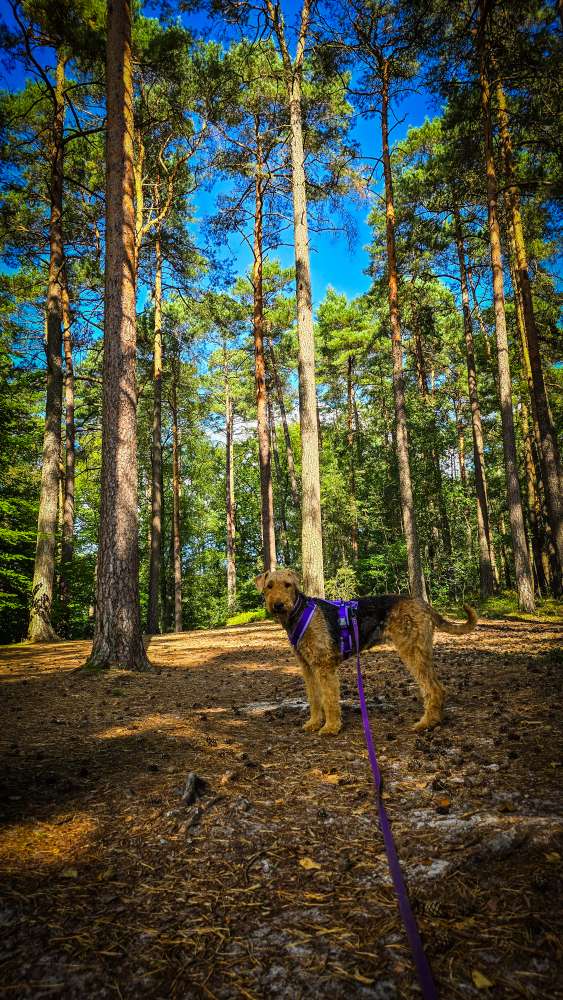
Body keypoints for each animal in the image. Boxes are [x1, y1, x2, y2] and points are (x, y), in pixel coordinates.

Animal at [254, 572, 476, 736]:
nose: (278, 605)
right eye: (269, 586)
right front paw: (314, 723)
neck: (297, 614)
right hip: (421, 652)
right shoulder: (308, 668)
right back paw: (436, 720)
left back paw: (425, 723)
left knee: (433, 689)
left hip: (412, 651)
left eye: (288, 585)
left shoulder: (324, 667)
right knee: (439, 687)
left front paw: (331, 727)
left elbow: (329, 700)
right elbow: (315, 699)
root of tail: (423, 604)